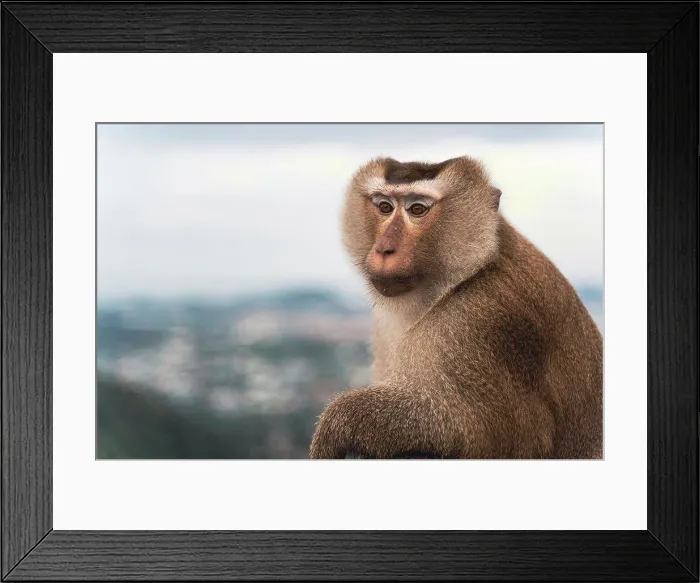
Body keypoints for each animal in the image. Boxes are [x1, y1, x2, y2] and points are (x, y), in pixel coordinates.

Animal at [309, 155, 603, 460]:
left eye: (417, 209)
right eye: (384, 207)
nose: (384, 248)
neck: (463, 276)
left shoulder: (476, 327)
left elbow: (497, 436)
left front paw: (340, 421)